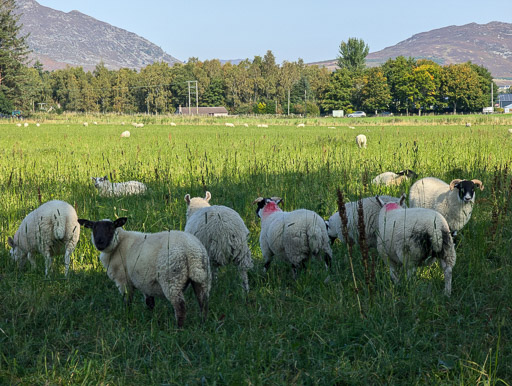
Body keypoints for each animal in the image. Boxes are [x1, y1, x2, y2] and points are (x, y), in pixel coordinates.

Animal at [78, 219, 210, 328]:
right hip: (203, 278)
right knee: (203, 302)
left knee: (180, 307)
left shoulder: (124, 281)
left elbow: (128, 301)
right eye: (94, 228)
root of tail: (191, 250)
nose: (99, 242)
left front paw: (127, 316)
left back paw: (179, 329)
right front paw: (150, 318)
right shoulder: (145, 282)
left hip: (172, 279)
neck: (118, 244)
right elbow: (150, 303)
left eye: (111, 228)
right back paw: (202, 323)